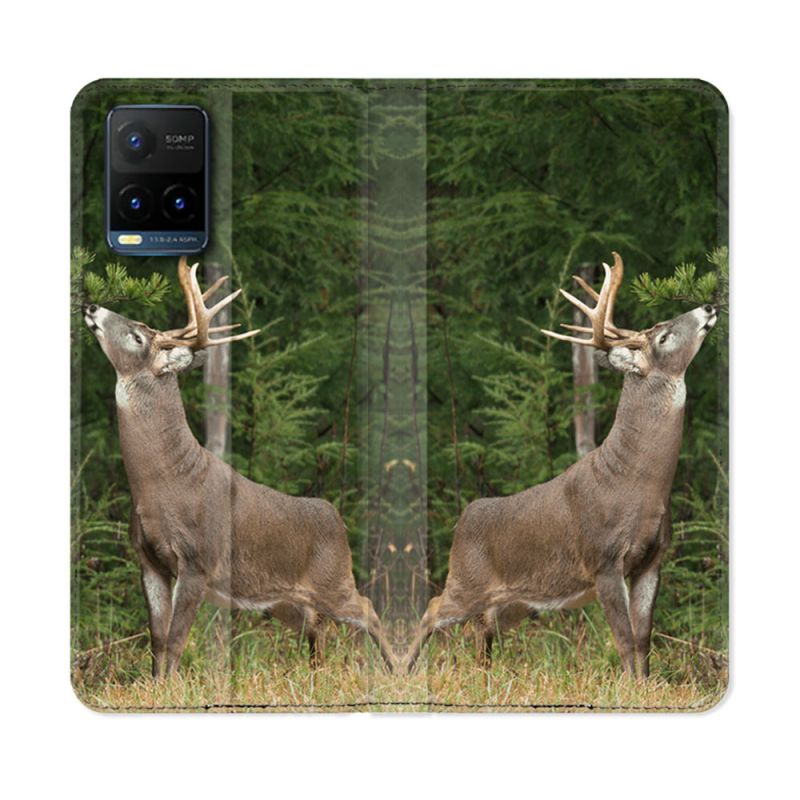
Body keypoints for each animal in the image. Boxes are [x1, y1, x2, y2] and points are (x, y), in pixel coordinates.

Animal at [83, 257, 396, 677]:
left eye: (137, 337)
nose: (91, 306)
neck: (163, 481)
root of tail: (337, 518)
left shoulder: (198, 560)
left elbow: (177, 641)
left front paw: (169, 687)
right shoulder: (148, 560)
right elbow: (158, 641)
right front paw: (153, 685)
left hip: (334, 578)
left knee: (368, 611)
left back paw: (401, 671)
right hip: (283, 599)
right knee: (317, 627)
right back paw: (316, 675)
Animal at [403, 252, 717, 678]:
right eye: (663, 337)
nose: (709, 305)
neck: (639, 483)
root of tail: (463, 518)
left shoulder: (653, 560)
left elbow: (643, 641)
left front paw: (648, 685)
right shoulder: (603, 560)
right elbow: (623, 640)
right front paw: (630, 686)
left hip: (515, 600)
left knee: (482, 629)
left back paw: (484, 674)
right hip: (466, 579)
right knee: (432, 611)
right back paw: (399, 670)